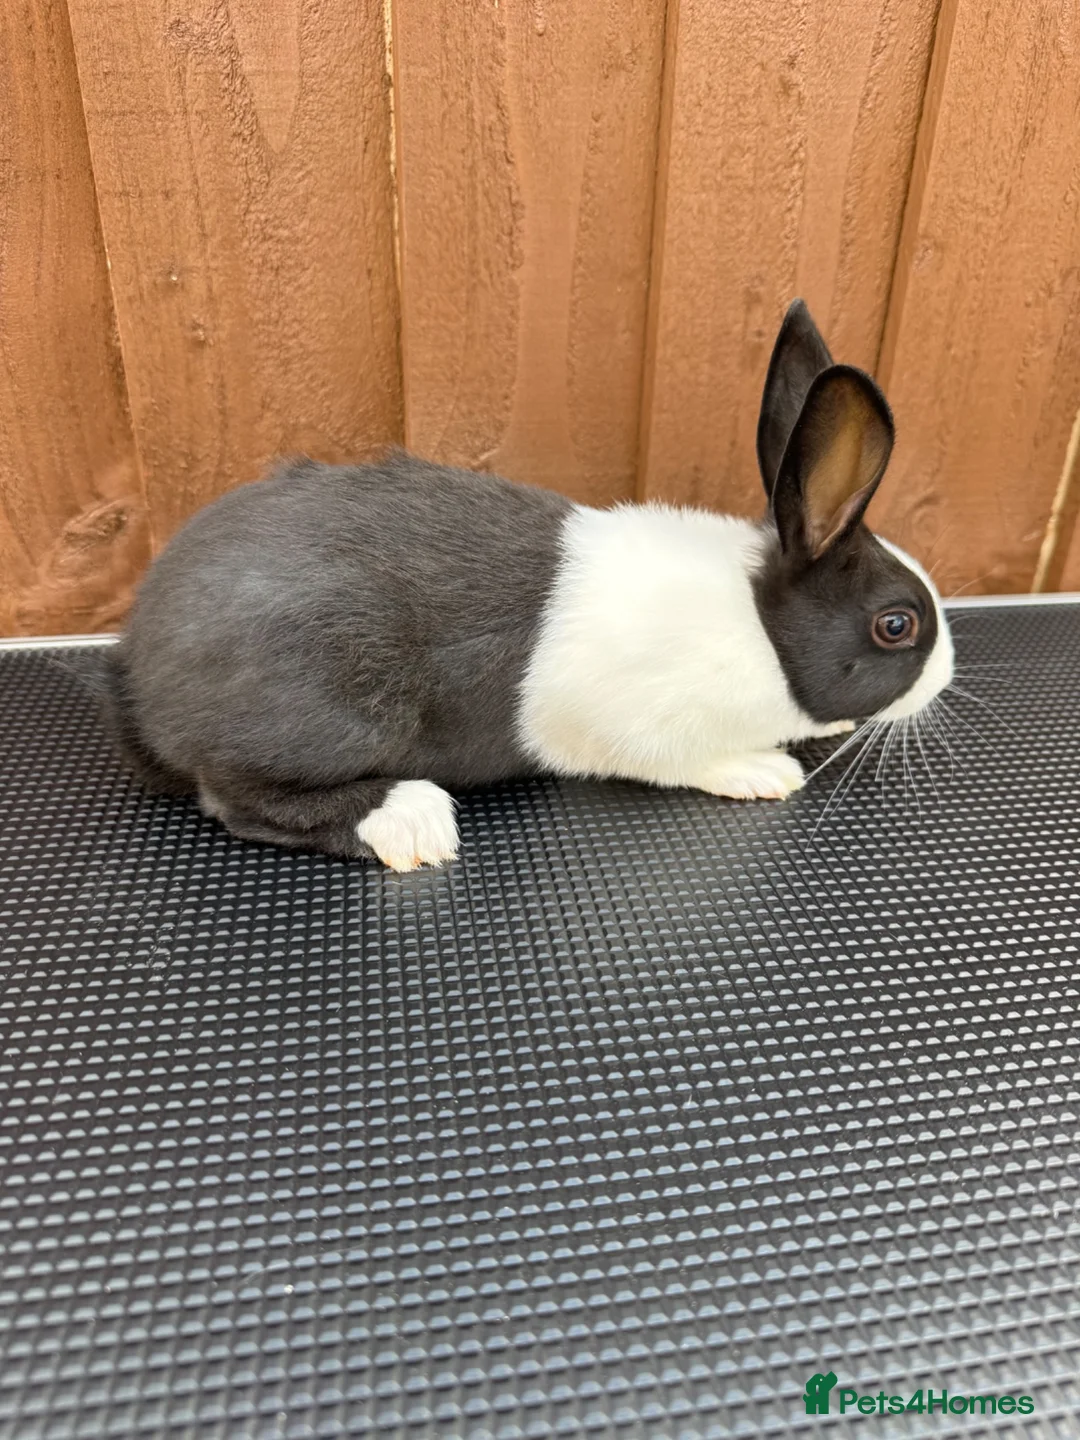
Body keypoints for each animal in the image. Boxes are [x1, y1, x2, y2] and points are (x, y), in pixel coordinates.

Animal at [101, 299, 953, 870]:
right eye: (897, 626)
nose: (946, 678)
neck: (759, 628)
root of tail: (138, 674)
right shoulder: (642, 727)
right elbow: (689, 760)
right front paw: (764, 771)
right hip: (333, 712)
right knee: (235, 798)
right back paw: (409, 819)